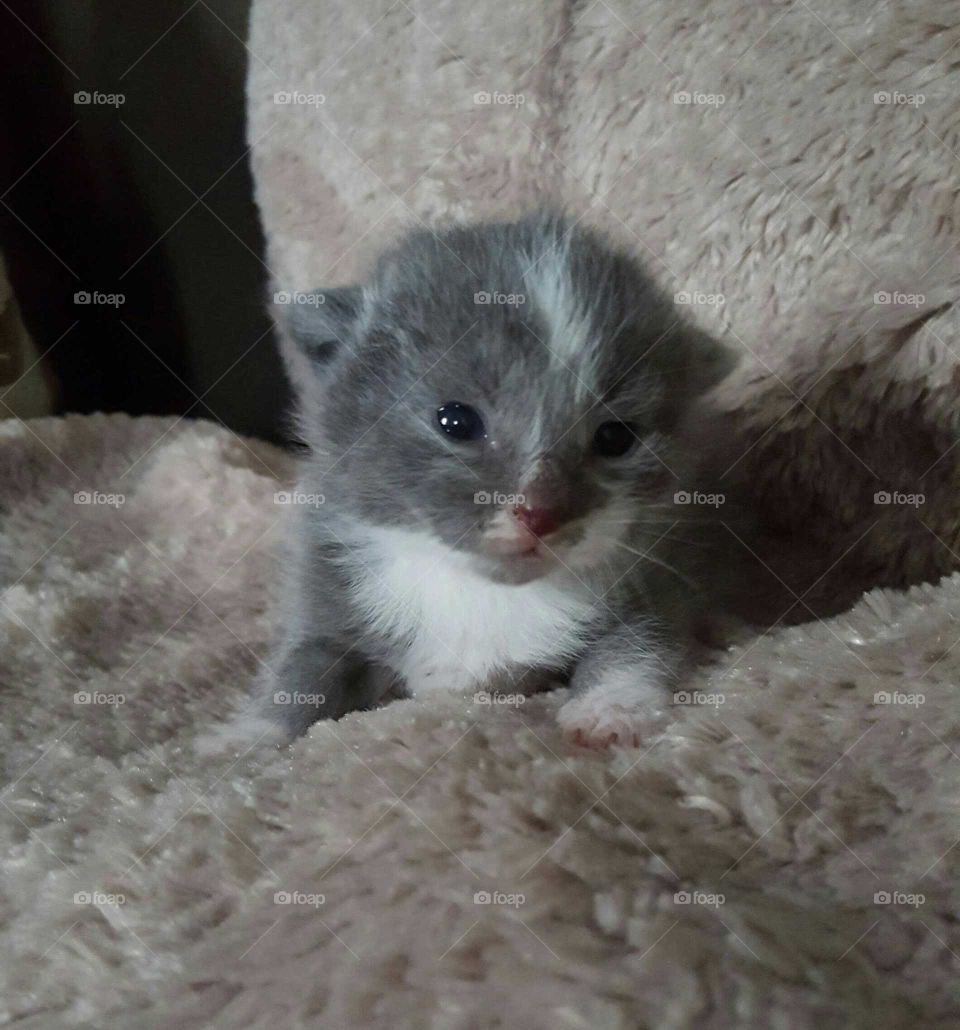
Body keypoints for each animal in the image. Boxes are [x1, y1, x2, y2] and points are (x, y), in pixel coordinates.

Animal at [251, 213, 729, 749]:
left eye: (616, 436)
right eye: (456, 421)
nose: (541, 512)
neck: (479, 592)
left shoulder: (655, 580)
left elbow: (637, 644)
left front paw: (610, 709)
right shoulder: (325, 584)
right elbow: (305, 668)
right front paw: (253, 738)